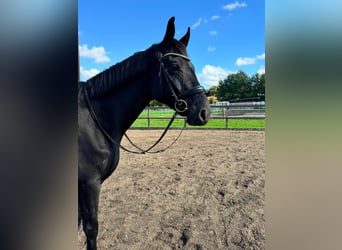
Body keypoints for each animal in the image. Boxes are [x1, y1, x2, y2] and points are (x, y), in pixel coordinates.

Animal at [78, 16, 210, 249]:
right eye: (174, 65)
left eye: (192, 66)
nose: (204, 111)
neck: (95, 121)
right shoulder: (88, 184)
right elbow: (91, 229)